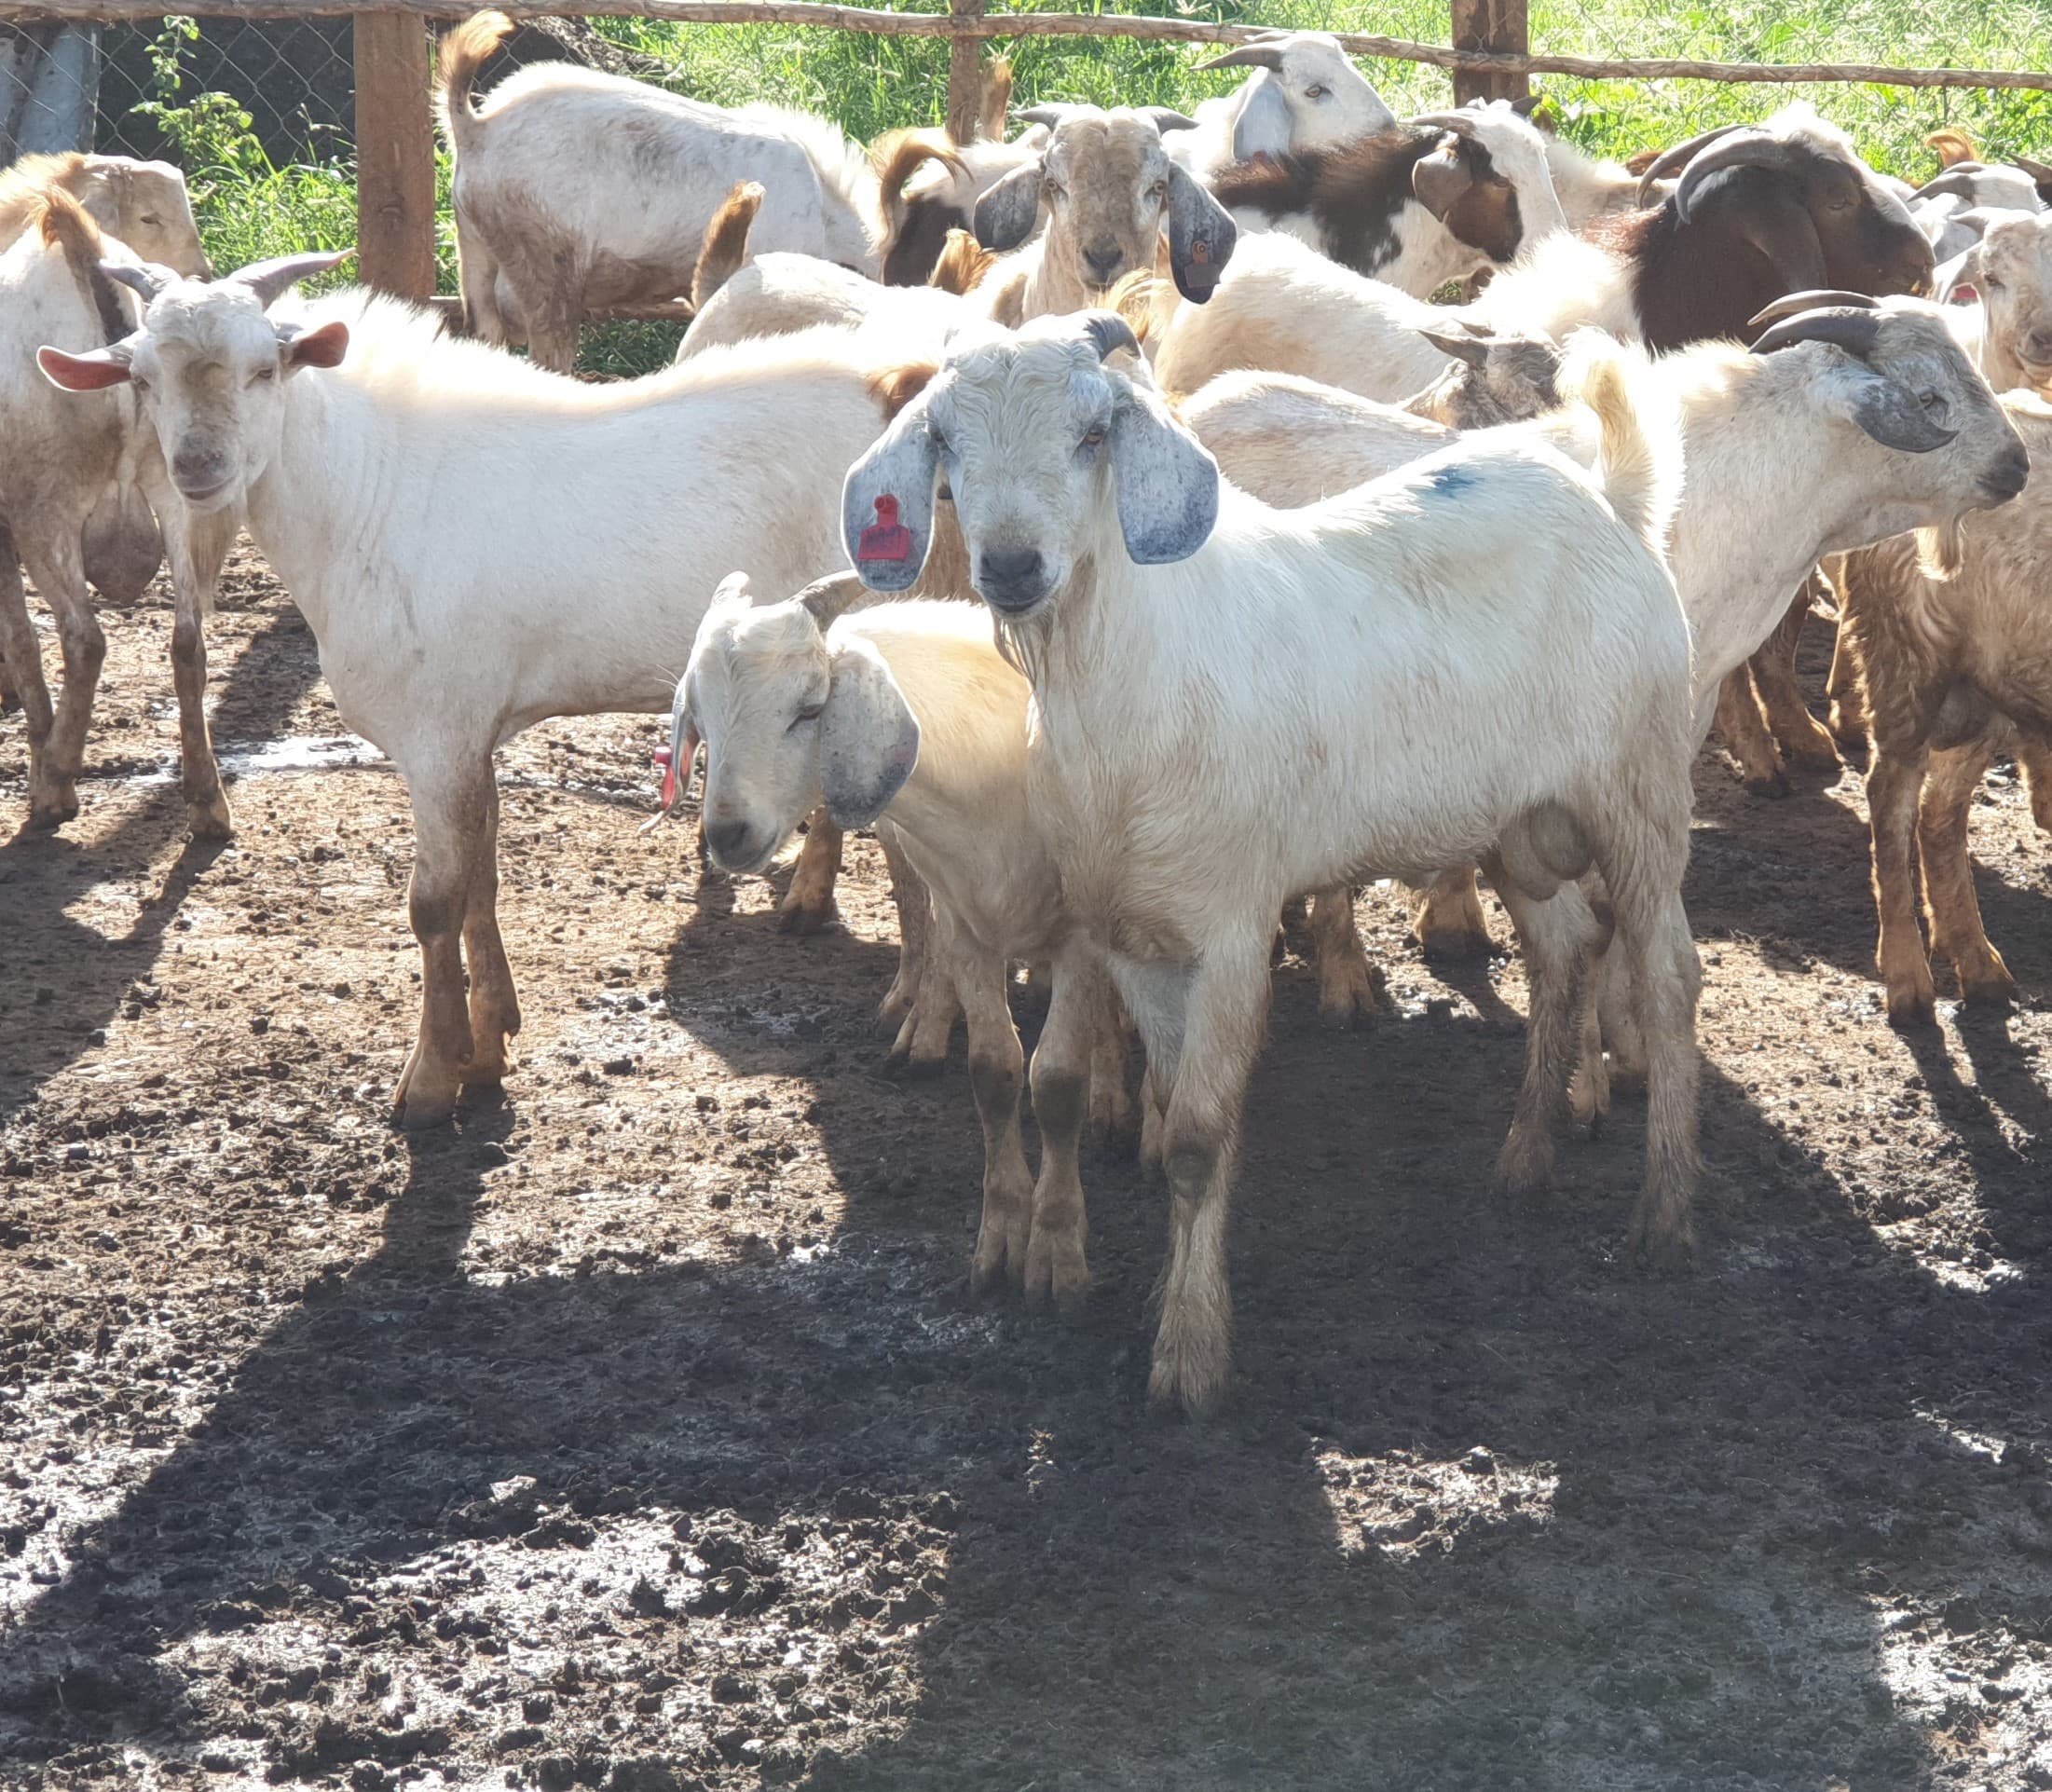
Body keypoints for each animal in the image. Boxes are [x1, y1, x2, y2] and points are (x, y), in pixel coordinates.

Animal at [40, 261, 951, 1125]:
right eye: (142, 377)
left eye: (265, 367)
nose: (199, 467)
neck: (371, 497)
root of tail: (900, 385)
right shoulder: (473, 730)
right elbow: (481, 878)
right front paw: (490, 1046)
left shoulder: (434, 734)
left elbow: (431, 904)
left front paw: (429, 1080)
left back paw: (920, 1016)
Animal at [678, 572, 1128, 1300]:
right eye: (700, 714)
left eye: (810, 709)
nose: (727, 835)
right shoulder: (966, 926)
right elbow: (994, 1072)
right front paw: (1000, 1240)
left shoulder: (1081, 938)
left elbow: (1059, 1082)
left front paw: (1056, 1253)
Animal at [842, 311, 1700, 1413]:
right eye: (944, 439)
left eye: (1093, 434)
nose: (1013, 567)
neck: (1127, 675)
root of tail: (1614, 498)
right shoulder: (1132, 932)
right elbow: (1169, 1122)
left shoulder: (1230, 927)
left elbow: (1201, 1137)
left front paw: (1191, 1357)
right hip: (1515, 822)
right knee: (1563, 950)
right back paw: (1525, 1161)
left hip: (1641, 795)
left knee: (1669, 976)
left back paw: (1665, 1215)